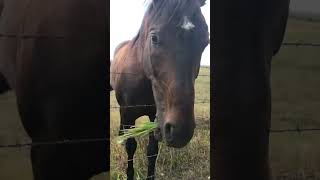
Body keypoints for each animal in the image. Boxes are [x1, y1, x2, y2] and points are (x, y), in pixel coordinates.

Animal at [110, 0, 210, 179]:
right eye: (154, 38)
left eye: (205, 41)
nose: (181, 131)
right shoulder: (128, 114)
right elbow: (131, 146)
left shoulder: (155, 117)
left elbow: (152, 151)